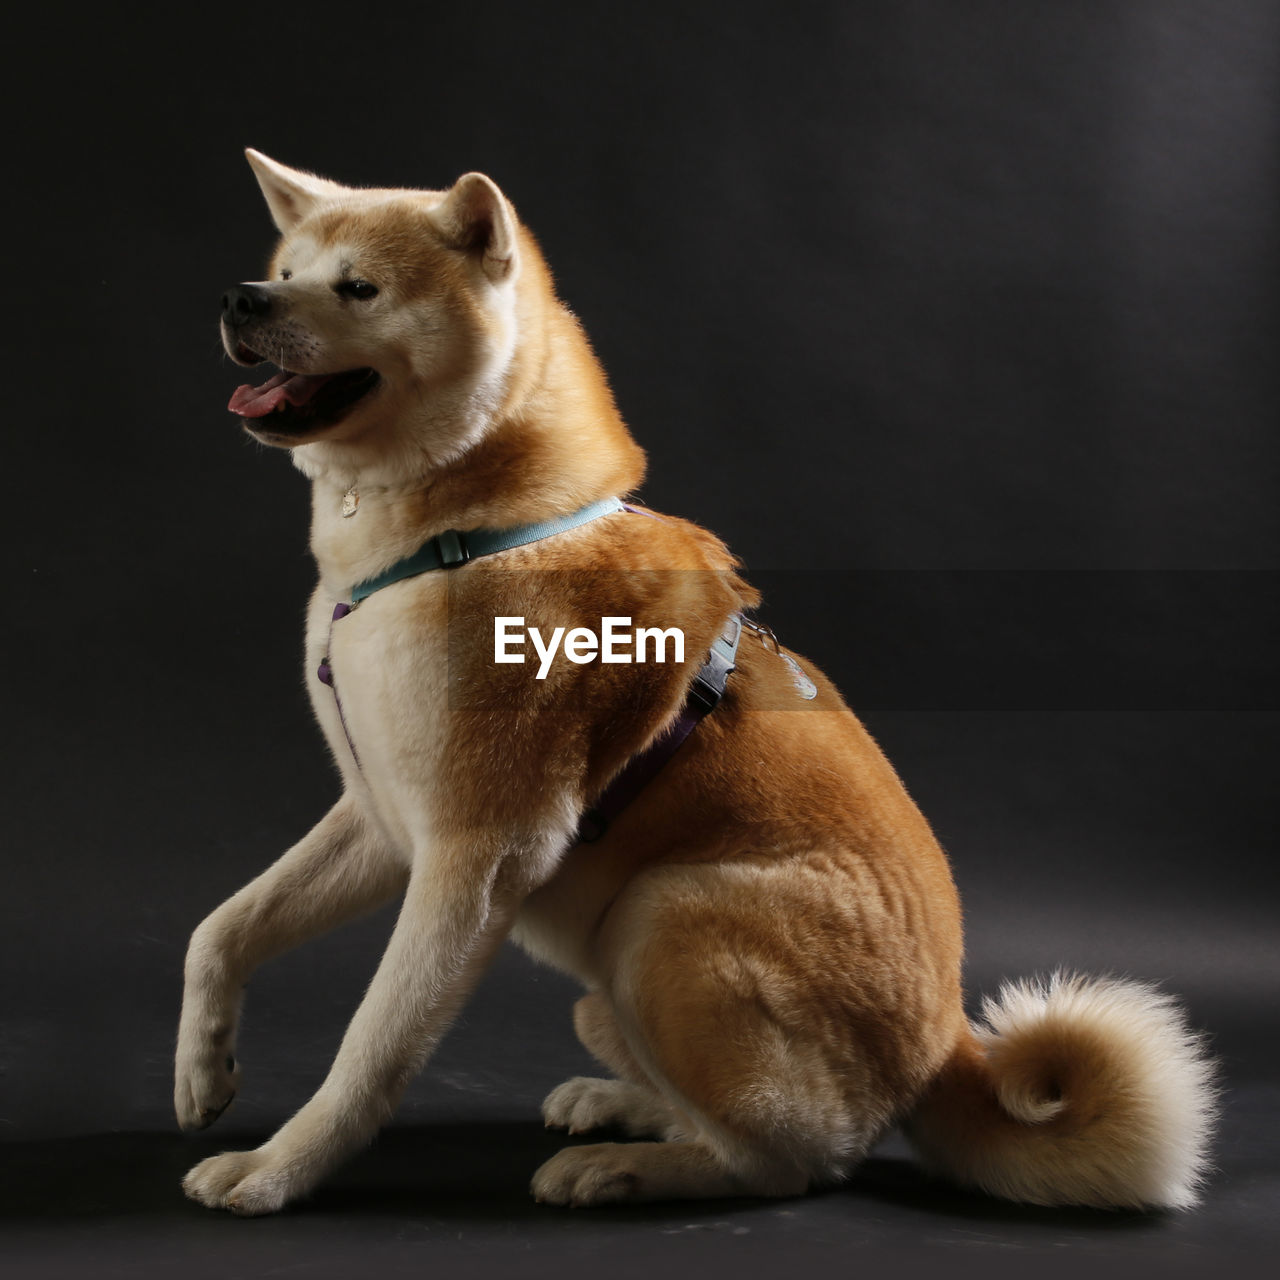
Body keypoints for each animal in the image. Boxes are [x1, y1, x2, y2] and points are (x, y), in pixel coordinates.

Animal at [175, 149, 1213, 1208]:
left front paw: (278, 1169)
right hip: (610, 983)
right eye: (288, 269)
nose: (241, 298)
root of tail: (947, 1053)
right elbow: (222, 927)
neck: (468, 534)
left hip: (663, 918)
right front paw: (204, 1068)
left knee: (791, 1162)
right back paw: (623, 1106)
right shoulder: (381, 818)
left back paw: (625, 1167)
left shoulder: (475, 854)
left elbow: (372, 1043)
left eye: (359, 288)